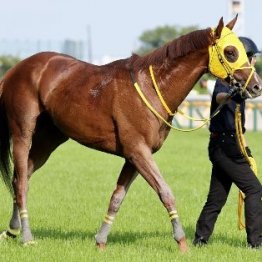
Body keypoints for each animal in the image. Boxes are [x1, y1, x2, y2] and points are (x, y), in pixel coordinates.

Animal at [0, 15, 260, 252]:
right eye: (230, 52)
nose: (256, 85)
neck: (151, 88)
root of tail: (14, 70)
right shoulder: (138, 151)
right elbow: (165, 192)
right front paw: (181, 241)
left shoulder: (133, 156)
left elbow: (117, 198)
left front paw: (101, 241)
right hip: (23, 133)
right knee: (20, 182)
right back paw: (26, 236)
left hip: (50, 138)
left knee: (22, 178)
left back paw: (12, 230)